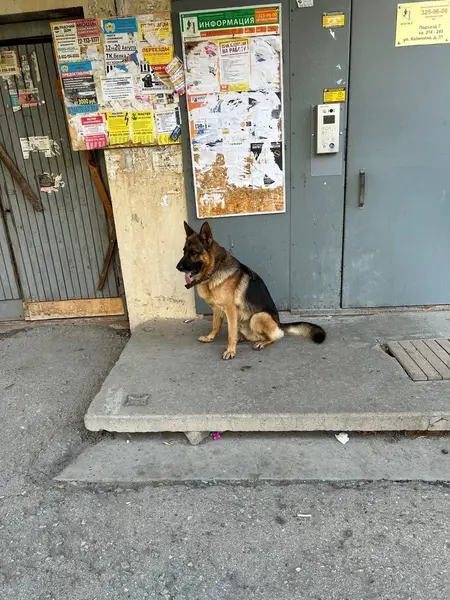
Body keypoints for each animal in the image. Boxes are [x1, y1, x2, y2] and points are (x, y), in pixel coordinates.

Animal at [176, 221, 326, 360]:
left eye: (194, 253)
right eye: (184, 251)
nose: (178, 267)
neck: (214, 269)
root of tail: (279, 324)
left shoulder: (230, 309)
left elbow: (230, 333)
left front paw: (230, 351)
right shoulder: (217, 308)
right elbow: (215, 325)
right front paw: (210, 338)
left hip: (257, 317)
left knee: (274, 337)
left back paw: (261, 343)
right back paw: (241, 338)